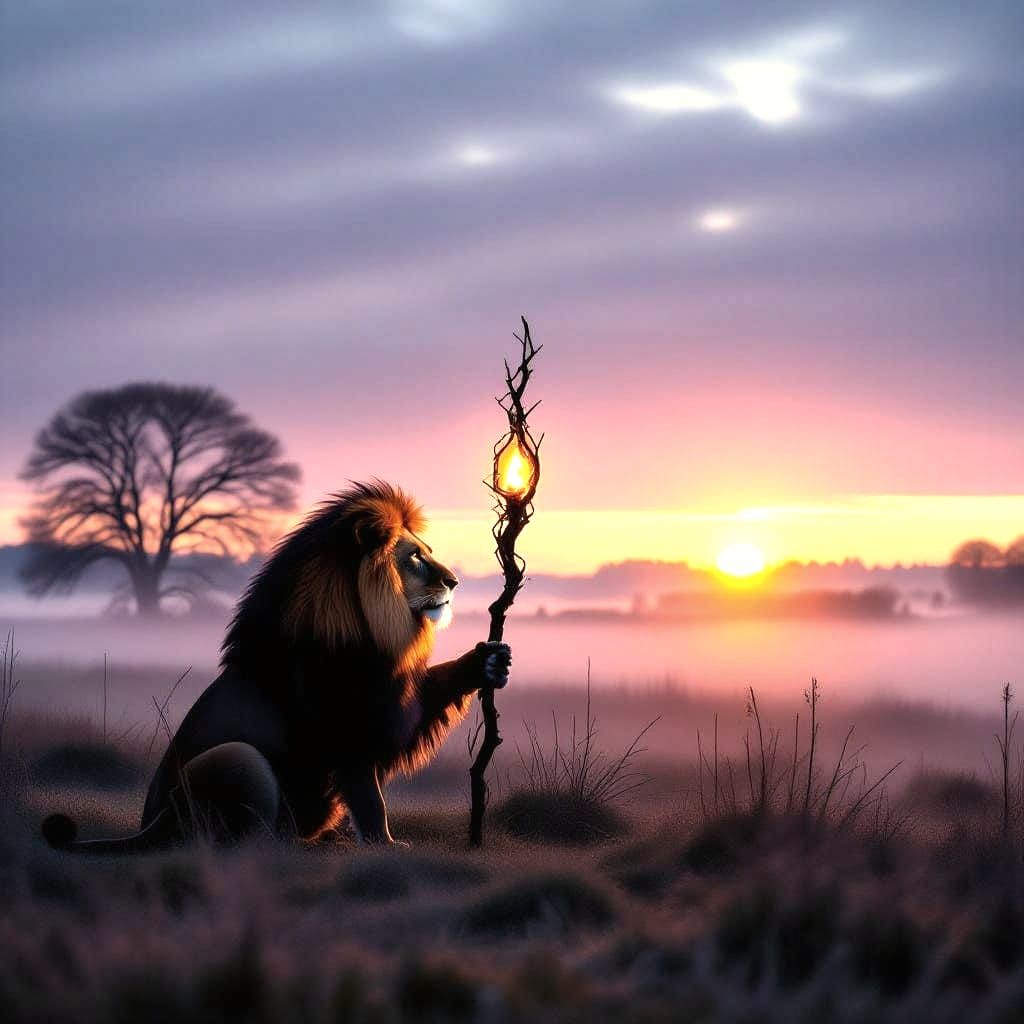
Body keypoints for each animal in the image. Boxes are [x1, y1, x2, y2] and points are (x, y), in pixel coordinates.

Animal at [42, 481, 511, 851]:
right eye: (415, 557)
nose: (454, 581)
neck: (369, 630)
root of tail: (144, 829)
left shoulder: (392, 700)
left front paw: (489, 661)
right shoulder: (351, 728)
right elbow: (369, 797)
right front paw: (386, 846)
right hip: (237, 758)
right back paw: (287, 841)